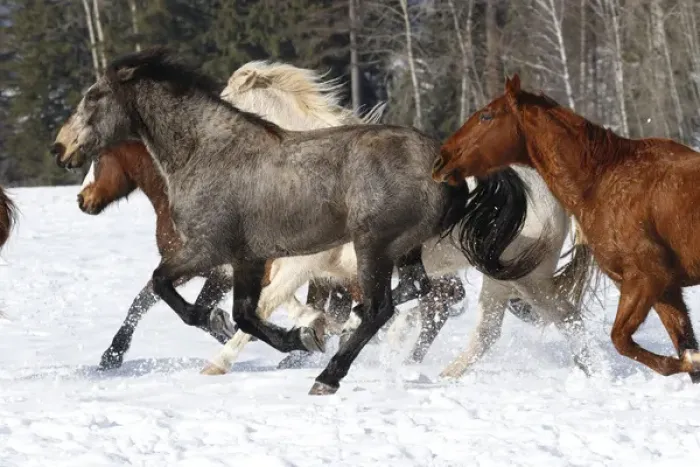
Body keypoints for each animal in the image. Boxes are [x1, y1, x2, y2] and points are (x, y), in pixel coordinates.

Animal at [51, 47, 547, 394]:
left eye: (93, 97)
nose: (60, 148)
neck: (207, 152)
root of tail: (445, 164)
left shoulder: (209, 251)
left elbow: (163, 288)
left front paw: (227, 330)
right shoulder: (247, 260)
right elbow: (247, 314)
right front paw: (301, 338)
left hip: (374, 245)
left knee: (387, 308)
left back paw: (328, 376)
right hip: (406, 249)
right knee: (418, 292)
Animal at [433, 73, 700, 382]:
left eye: (486, 115)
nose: (440, 161)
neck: (603, 181)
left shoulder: (647, 279)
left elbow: (622, 340)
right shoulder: (666, 290)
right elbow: (684, 345)